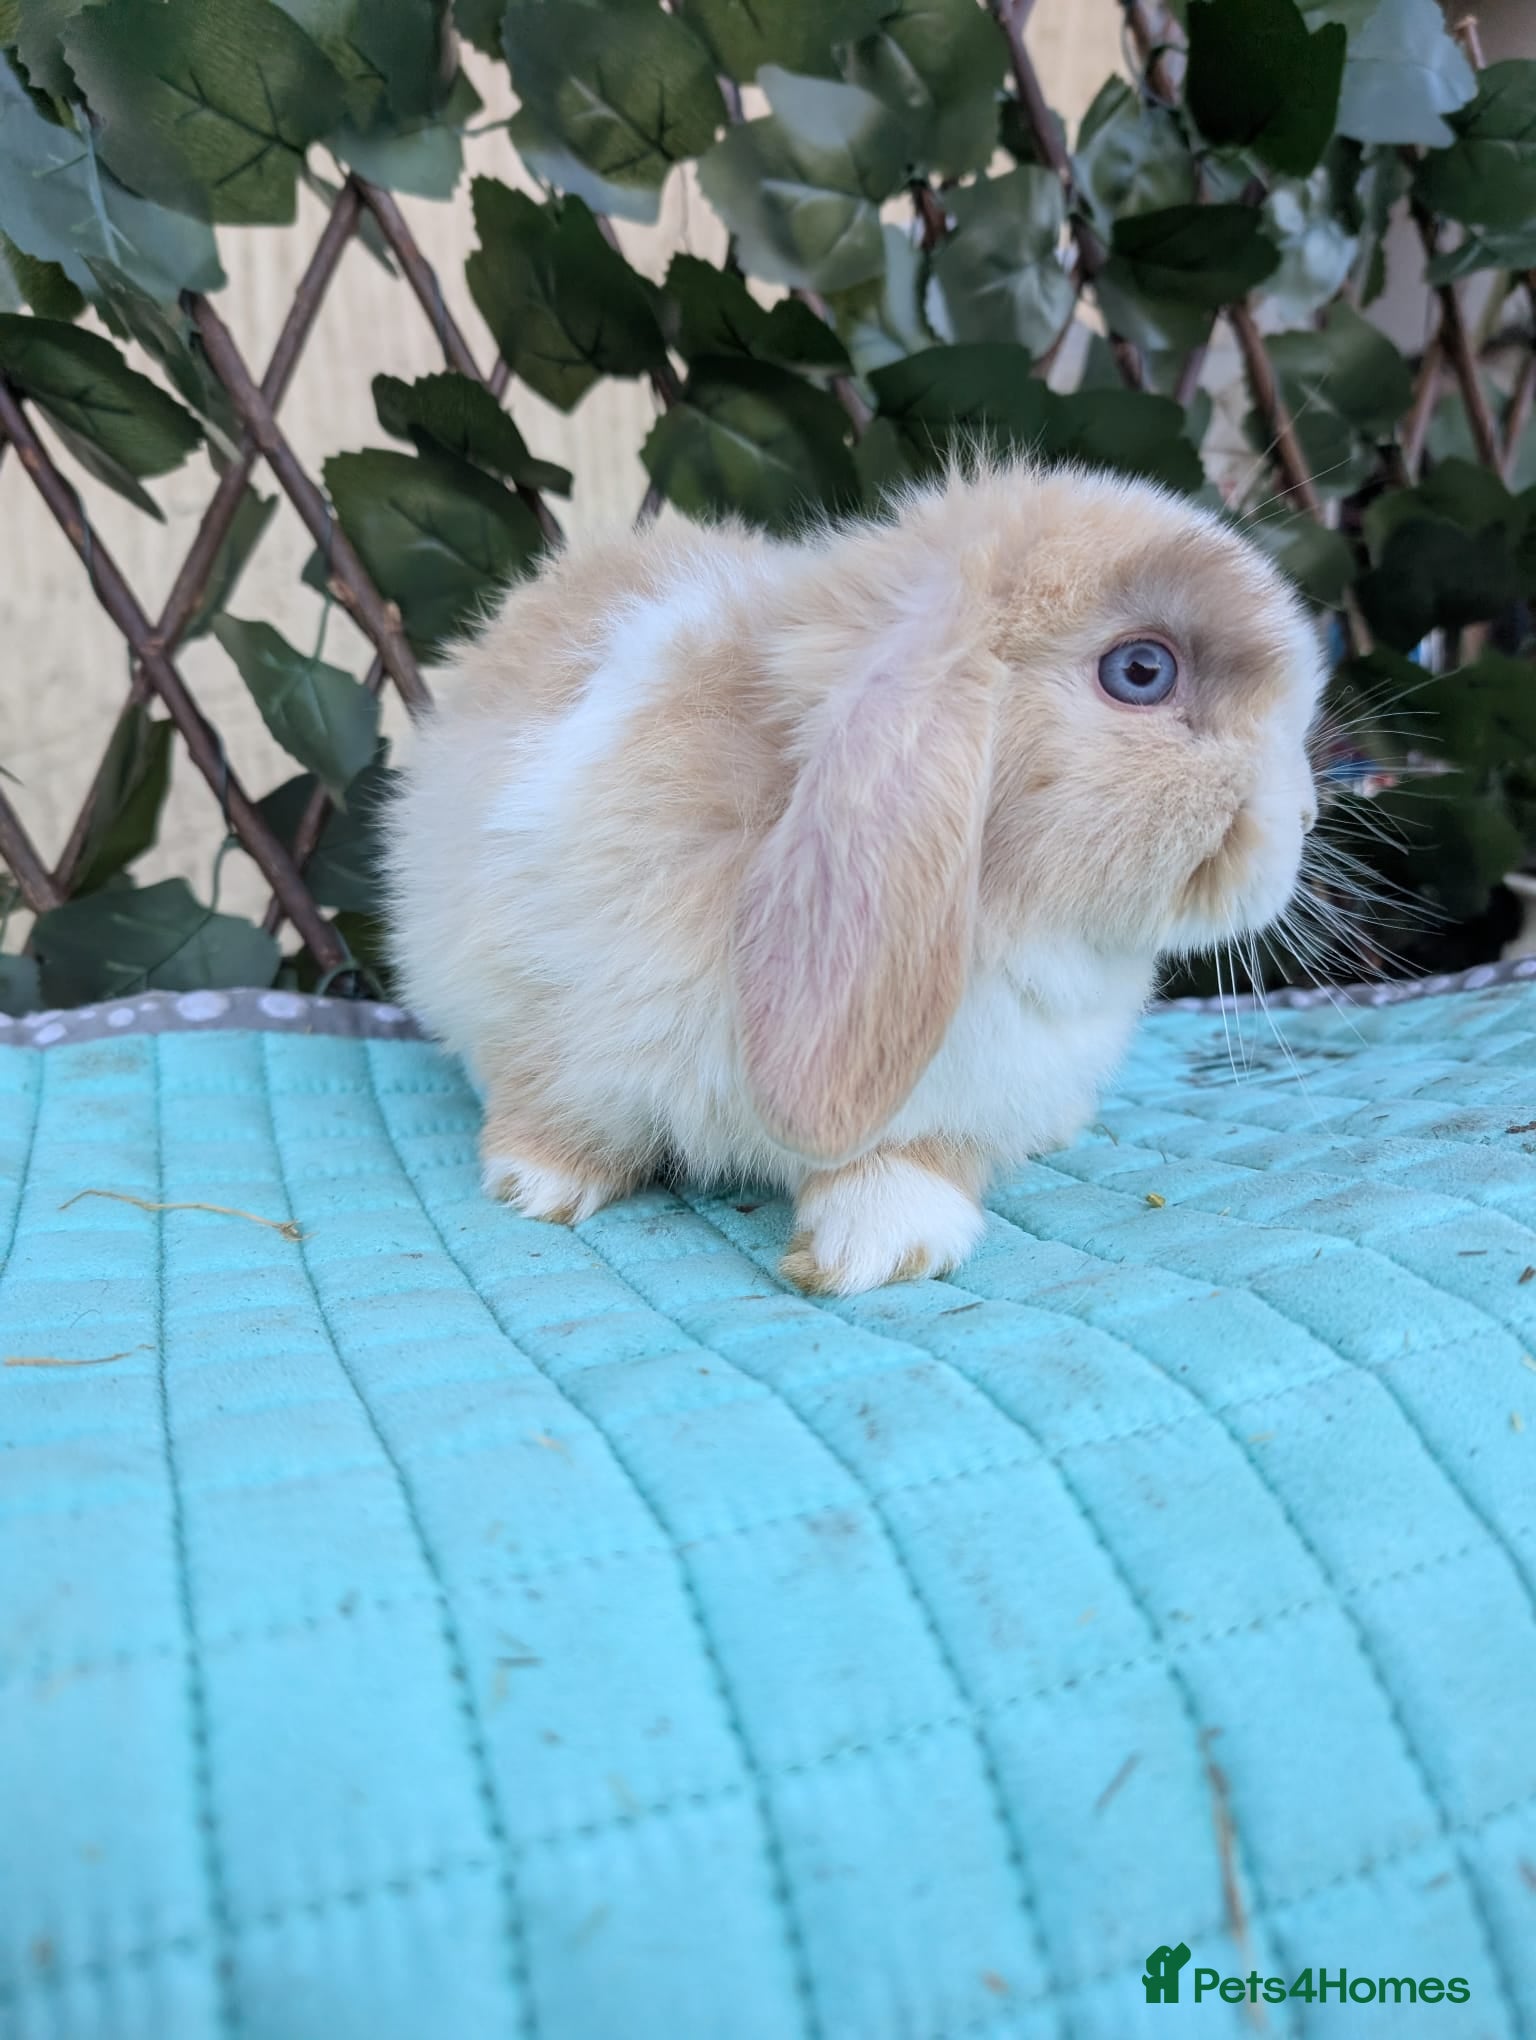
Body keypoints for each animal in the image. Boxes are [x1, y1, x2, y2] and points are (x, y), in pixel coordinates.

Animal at [385, 454, 1324, 1297]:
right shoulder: (545, 998)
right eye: (1141, 672)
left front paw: (878, 1245)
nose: (1307, 817)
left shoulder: (962, 1098)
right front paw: (533, 1184)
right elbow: (561, 1099)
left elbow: (909, 1164)